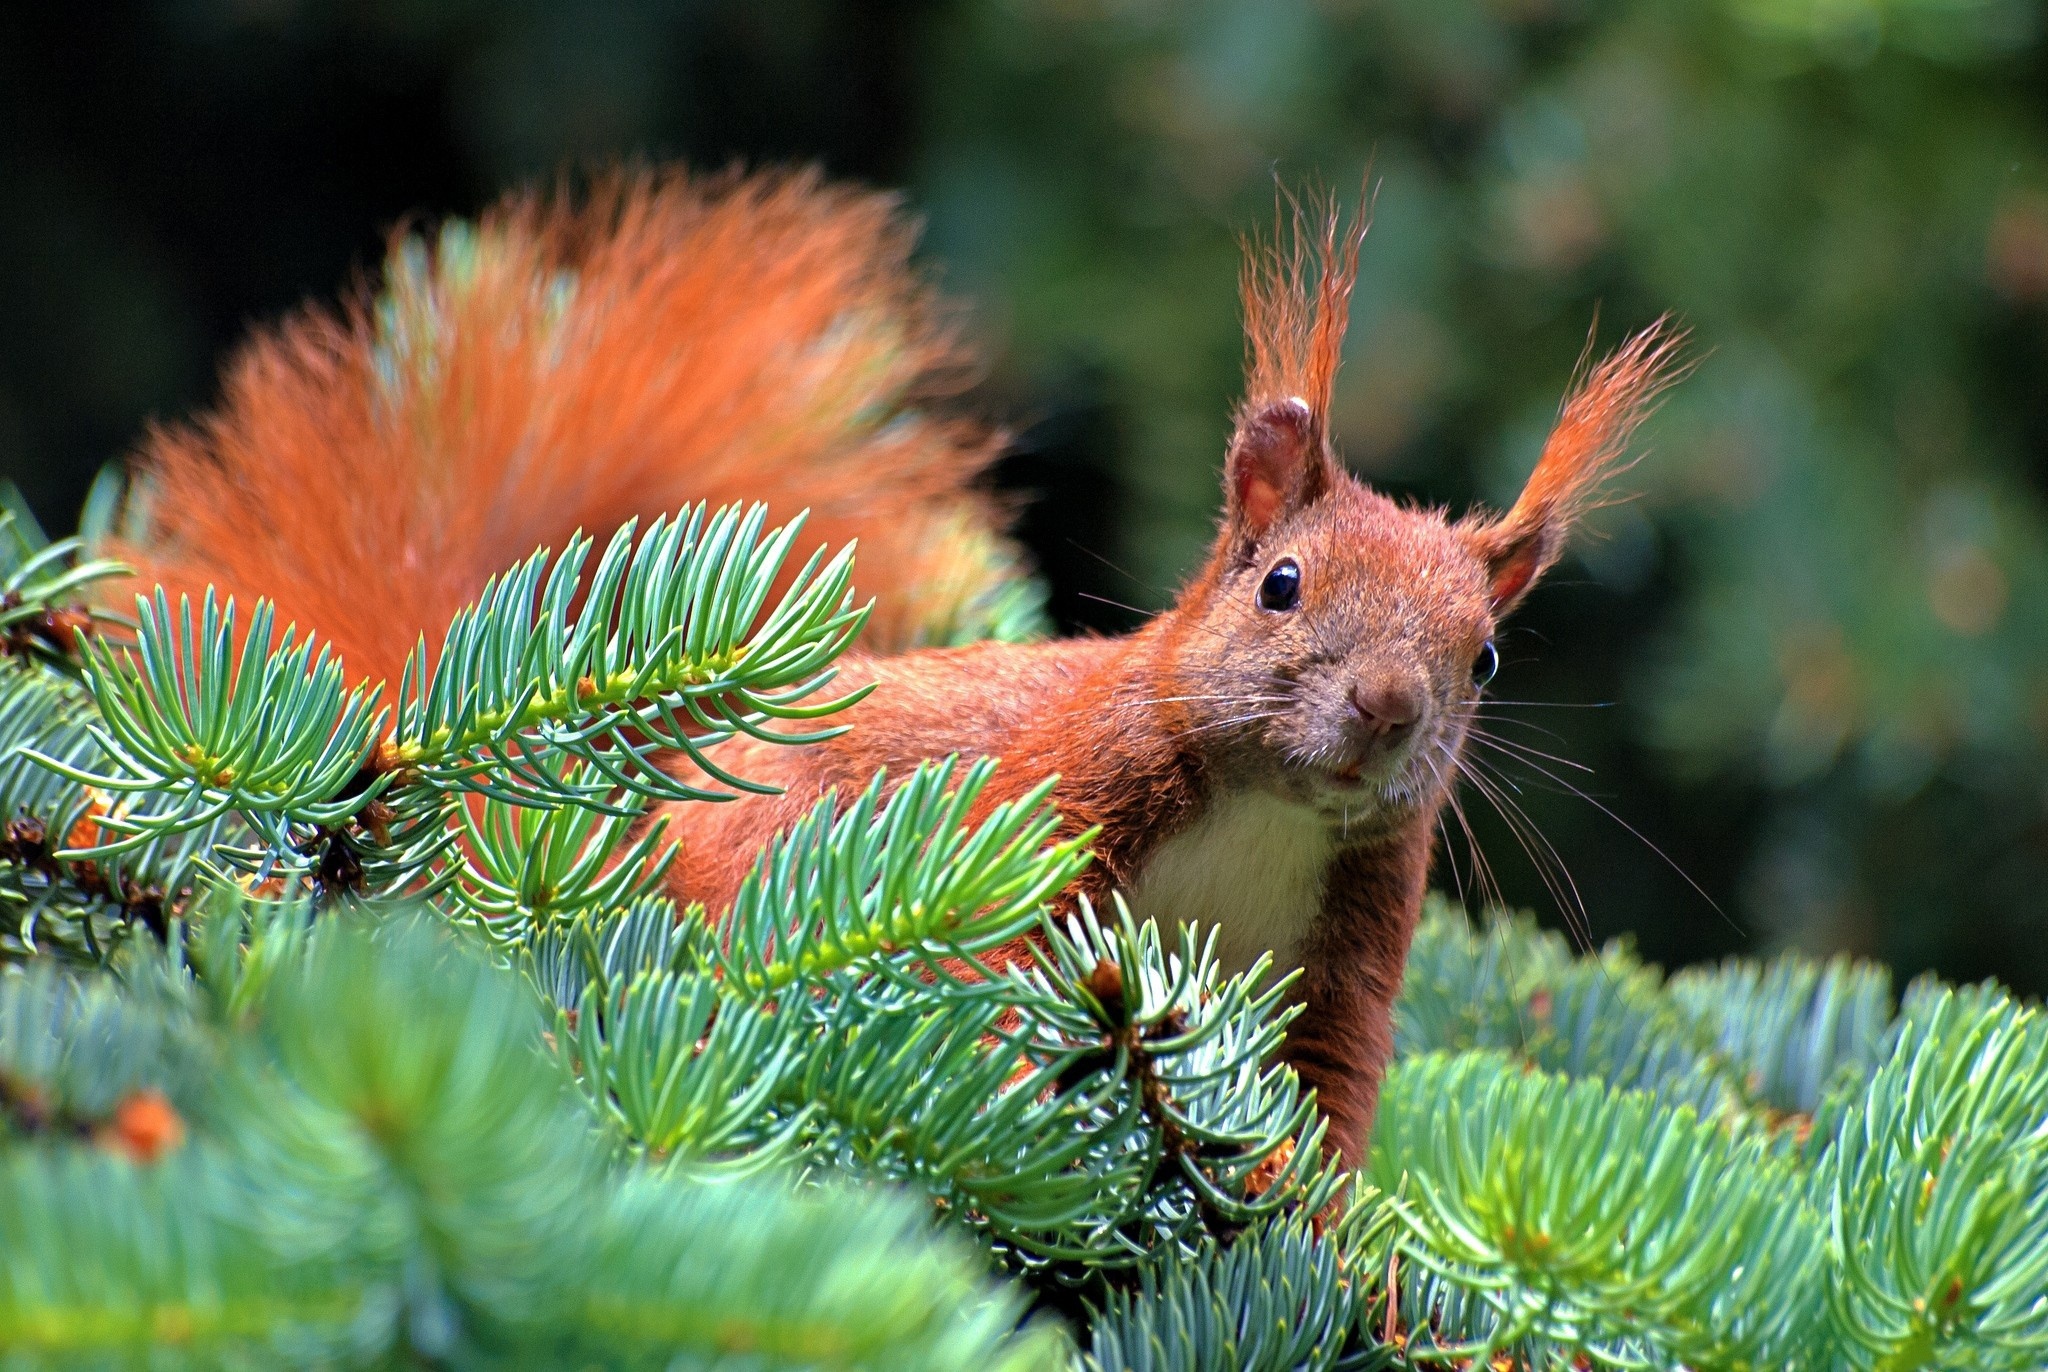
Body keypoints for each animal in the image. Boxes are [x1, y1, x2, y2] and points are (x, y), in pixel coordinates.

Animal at [112, 166, 1679, 1163]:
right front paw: (1011, 1076)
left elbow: (1332, 1116)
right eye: (1280, 584)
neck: (1265, 816)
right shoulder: (1051, 795)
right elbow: (989, 940)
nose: (1389, 707)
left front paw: (1339, 1254)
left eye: (1484, 657)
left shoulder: (1348, 967)